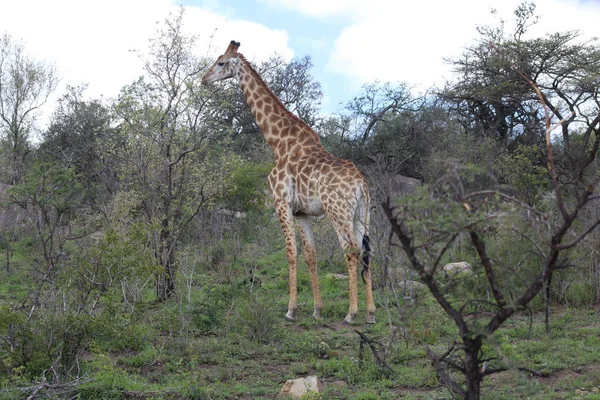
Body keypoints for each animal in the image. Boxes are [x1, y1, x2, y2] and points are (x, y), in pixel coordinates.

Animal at [204, 40, 378, 324]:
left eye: (221, 62)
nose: (204, 79)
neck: (278, 142)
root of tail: (361, 183)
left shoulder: (281, 203)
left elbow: (290, 253)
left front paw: (291, 309)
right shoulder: (301, 212)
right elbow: (311, 255)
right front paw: (317, 310)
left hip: (338, 211)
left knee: (350, 250)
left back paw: (351, 314)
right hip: (362, 213)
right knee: (365, 251)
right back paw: (371, 313)